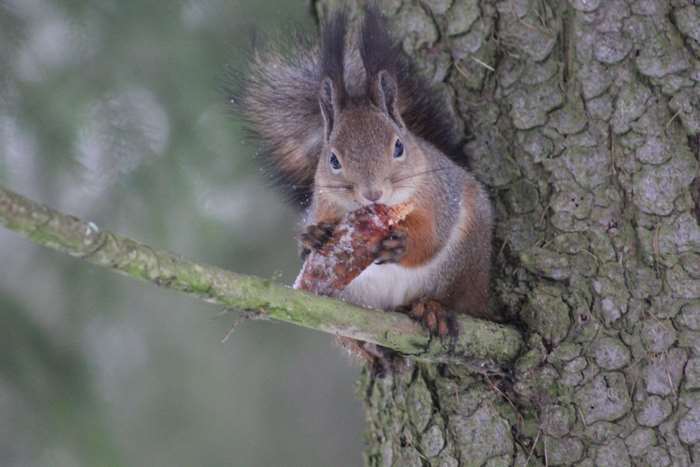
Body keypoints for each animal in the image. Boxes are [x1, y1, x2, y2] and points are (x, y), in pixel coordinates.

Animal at [238, 6, 494, 340]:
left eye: (399, 146)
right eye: (333, 159)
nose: (373, 193)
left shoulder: (441, 194)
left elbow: (433, 236)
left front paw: (402, 245)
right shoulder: (322, 203)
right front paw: (313, 236)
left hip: (466, 269)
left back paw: (433, 310)